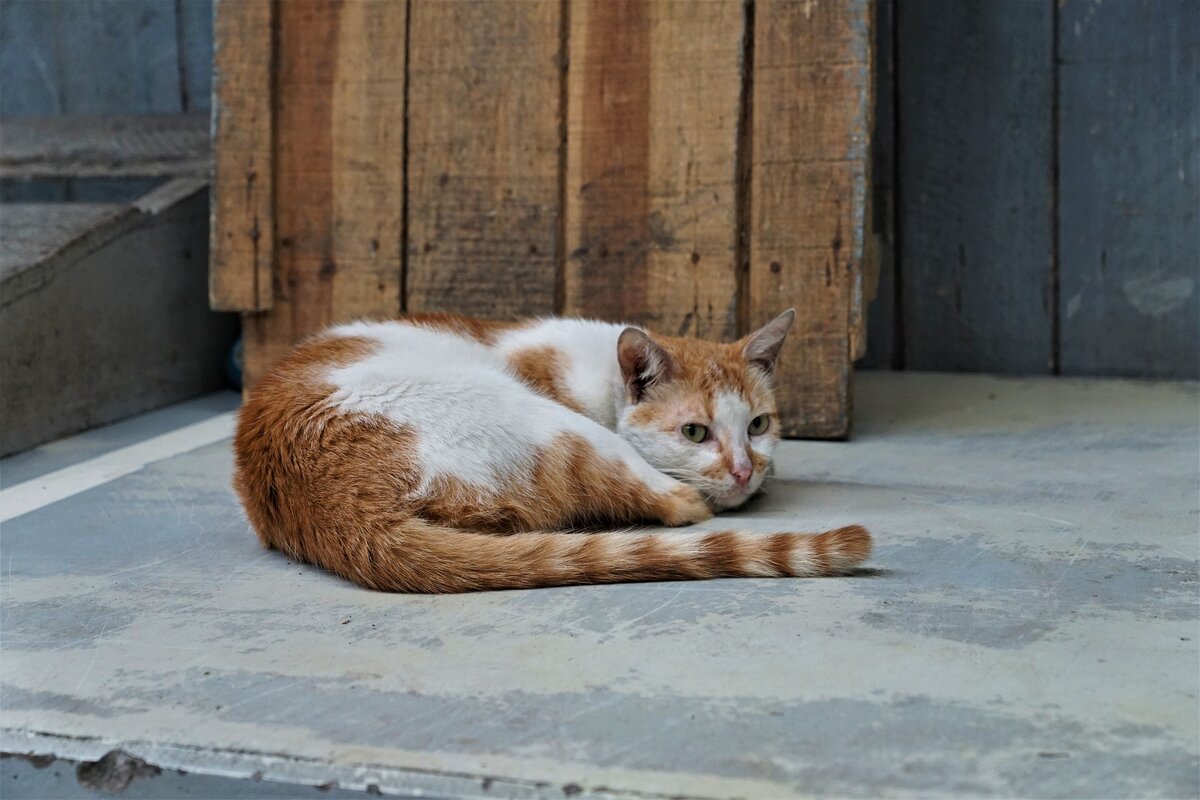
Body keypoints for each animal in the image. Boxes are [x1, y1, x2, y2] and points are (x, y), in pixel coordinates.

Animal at [234, 309, 873, 592]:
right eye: (695, 433)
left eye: (759, 425)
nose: (744, 471)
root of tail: (339, 507)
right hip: (550, 424)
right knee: (672, 504)